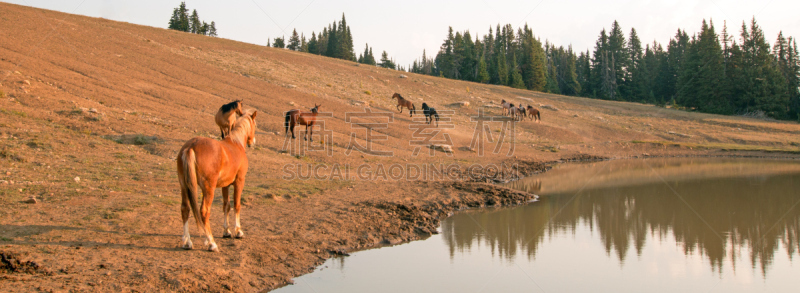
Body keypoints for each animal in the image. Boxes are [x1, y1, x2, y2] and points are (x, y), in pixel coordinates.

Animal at [178, 109, 260, 251]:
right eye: (254, 124)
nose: (252, 141)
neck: (235, 143)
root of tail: (190, 147)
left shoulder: (225, 185)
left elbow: (226, 206)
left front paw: (226, 231)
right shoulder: (239, 182)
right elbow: (236, 205)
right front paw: (238, 231)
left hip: (184, 186)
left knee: (185, 209)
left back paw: (187, 242)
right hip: (208, 188)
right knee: (204, 212)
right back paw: (211, 243)